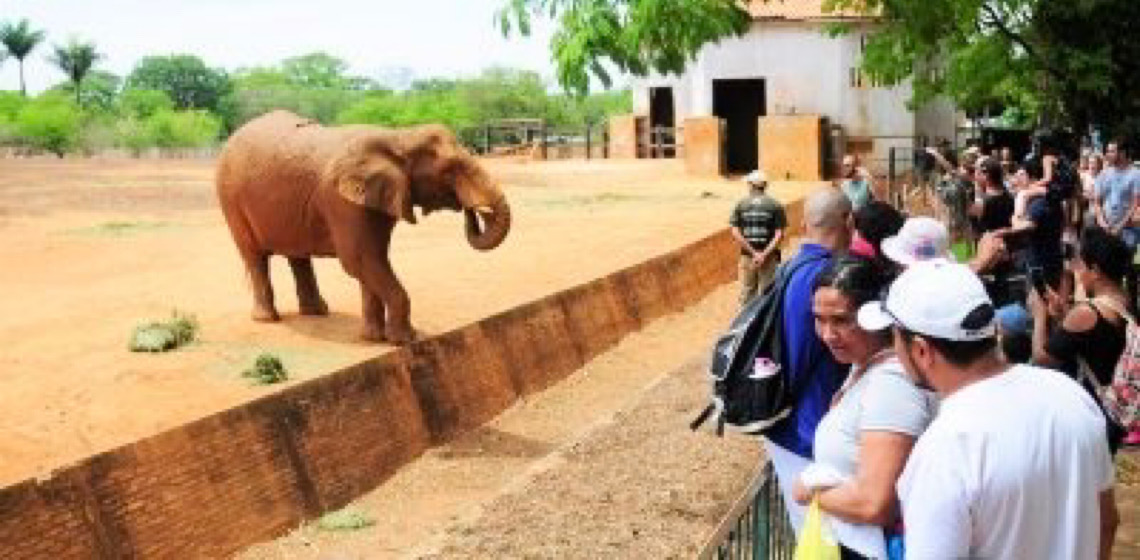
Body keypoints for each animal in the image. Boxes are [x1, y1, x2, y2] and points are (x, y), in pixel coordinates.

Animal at [215, 110, 510, 344]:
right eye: (450, 170)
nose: (472, 211)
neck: (399, 138)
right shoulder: (342, 202)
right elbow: (360, 260)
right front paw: (406, 340)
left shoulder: (377, 199)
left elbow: (372, 261)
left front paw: (373, 338)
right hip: (230, 198)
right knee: (254, 257)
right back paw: (268, 319)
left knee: (297, 257)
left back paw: (317, 312)